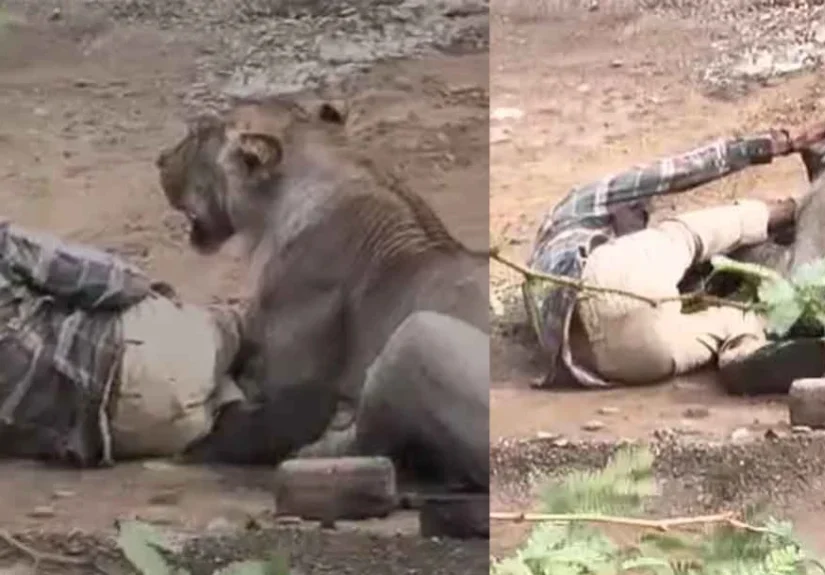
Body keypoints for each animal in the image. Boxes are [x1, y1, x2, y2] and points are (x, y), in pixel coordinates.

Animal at [155, 95, 490, 492]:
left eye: (201, 134)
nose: (159, 159)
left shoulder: (297, 386)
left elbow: (255, 424)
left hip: (416, 334)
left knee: (369, 442)